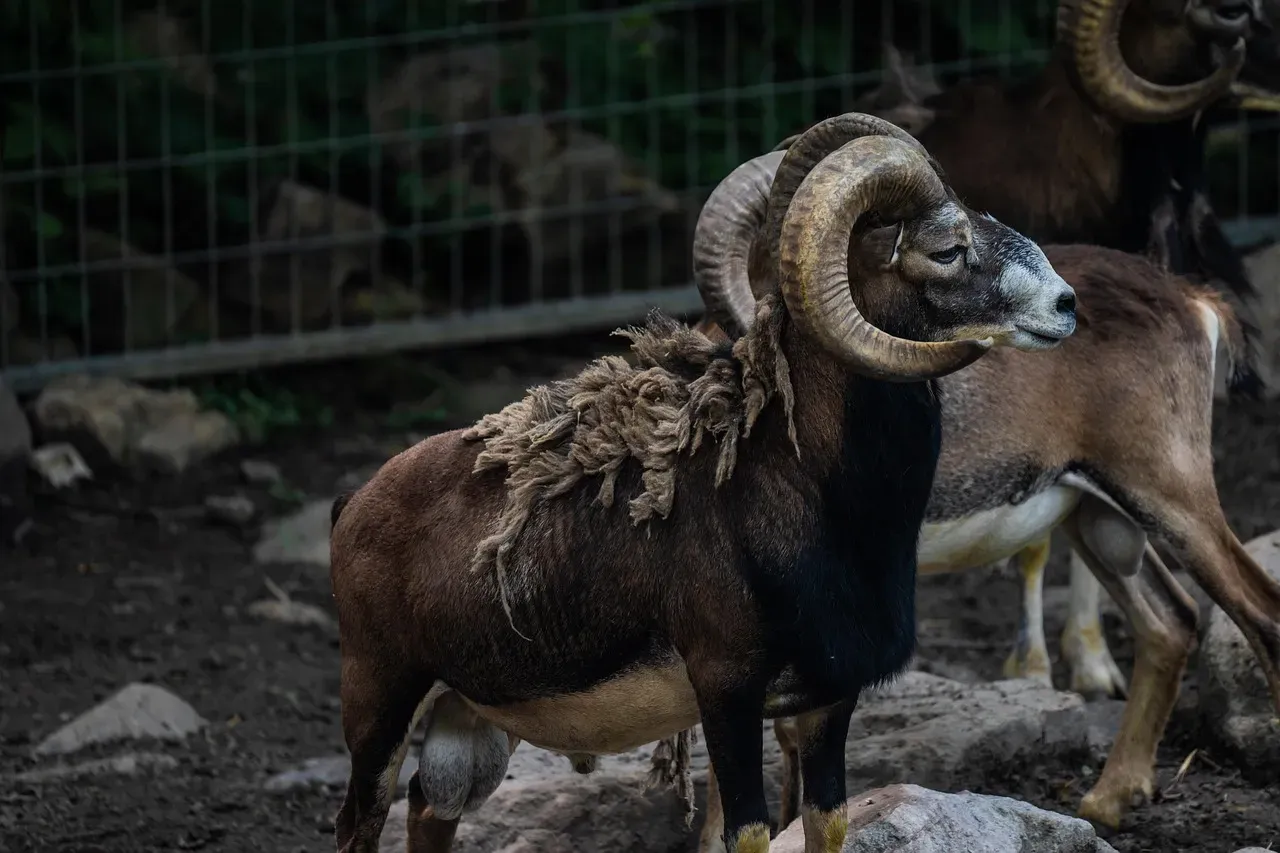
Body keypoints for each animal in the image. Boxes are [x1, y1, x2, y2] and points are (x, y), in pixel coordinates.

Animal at [327, 112, 1078, 853]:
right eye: (947, 248)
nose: (1066, 305)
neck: (811, 497)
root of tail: (352, 506)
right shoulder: (727, 693)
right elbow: (743, 831)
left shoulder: (828, 701)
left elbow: (826, 820)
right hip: (382, 702)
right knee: (360, 821)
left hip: (468, 724)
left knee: (430, 808)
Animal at [687, 148, 1280, 845]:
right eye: (948, 248)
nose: (1062, 304)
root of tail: (1190, 299)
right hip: (1096, 514)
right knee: (1171, 621)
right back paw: (1106, 802)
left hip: (1171, 495)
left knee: (1257, 614)